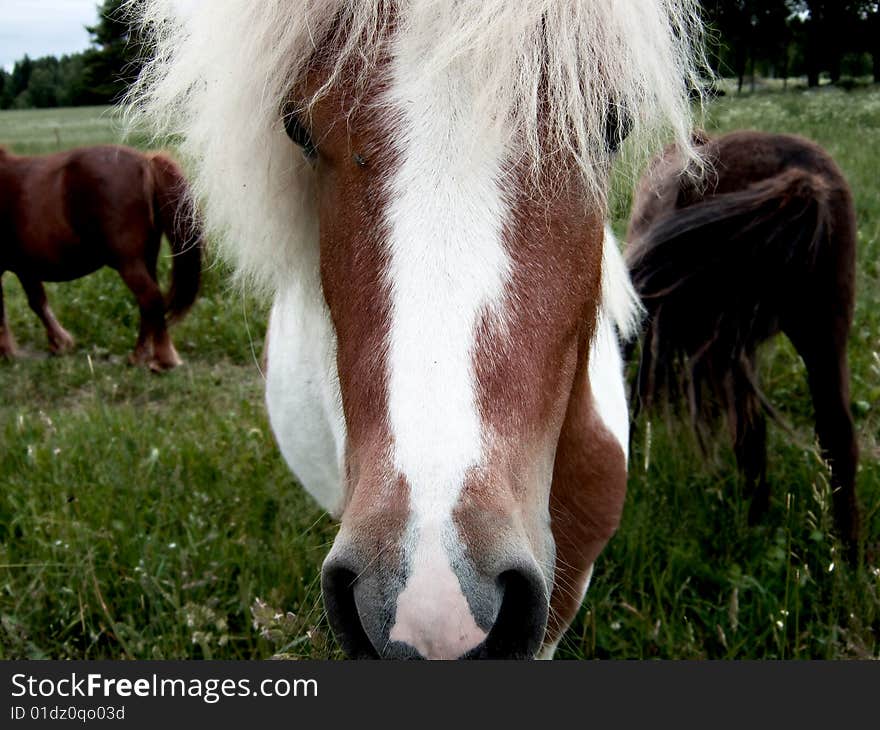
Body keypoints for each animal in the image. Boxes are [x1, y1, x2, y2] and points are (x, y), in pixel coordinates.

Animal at [0, 144, 201, 370]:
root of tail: (144, 163)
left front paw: (7, 352)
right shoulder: (25, 267)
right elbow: (37, 302)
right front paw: (59, 343)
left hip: (129, 263)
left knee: (150, 299)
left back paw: (159, 358)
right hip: (147, 259)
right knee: (149, 305)